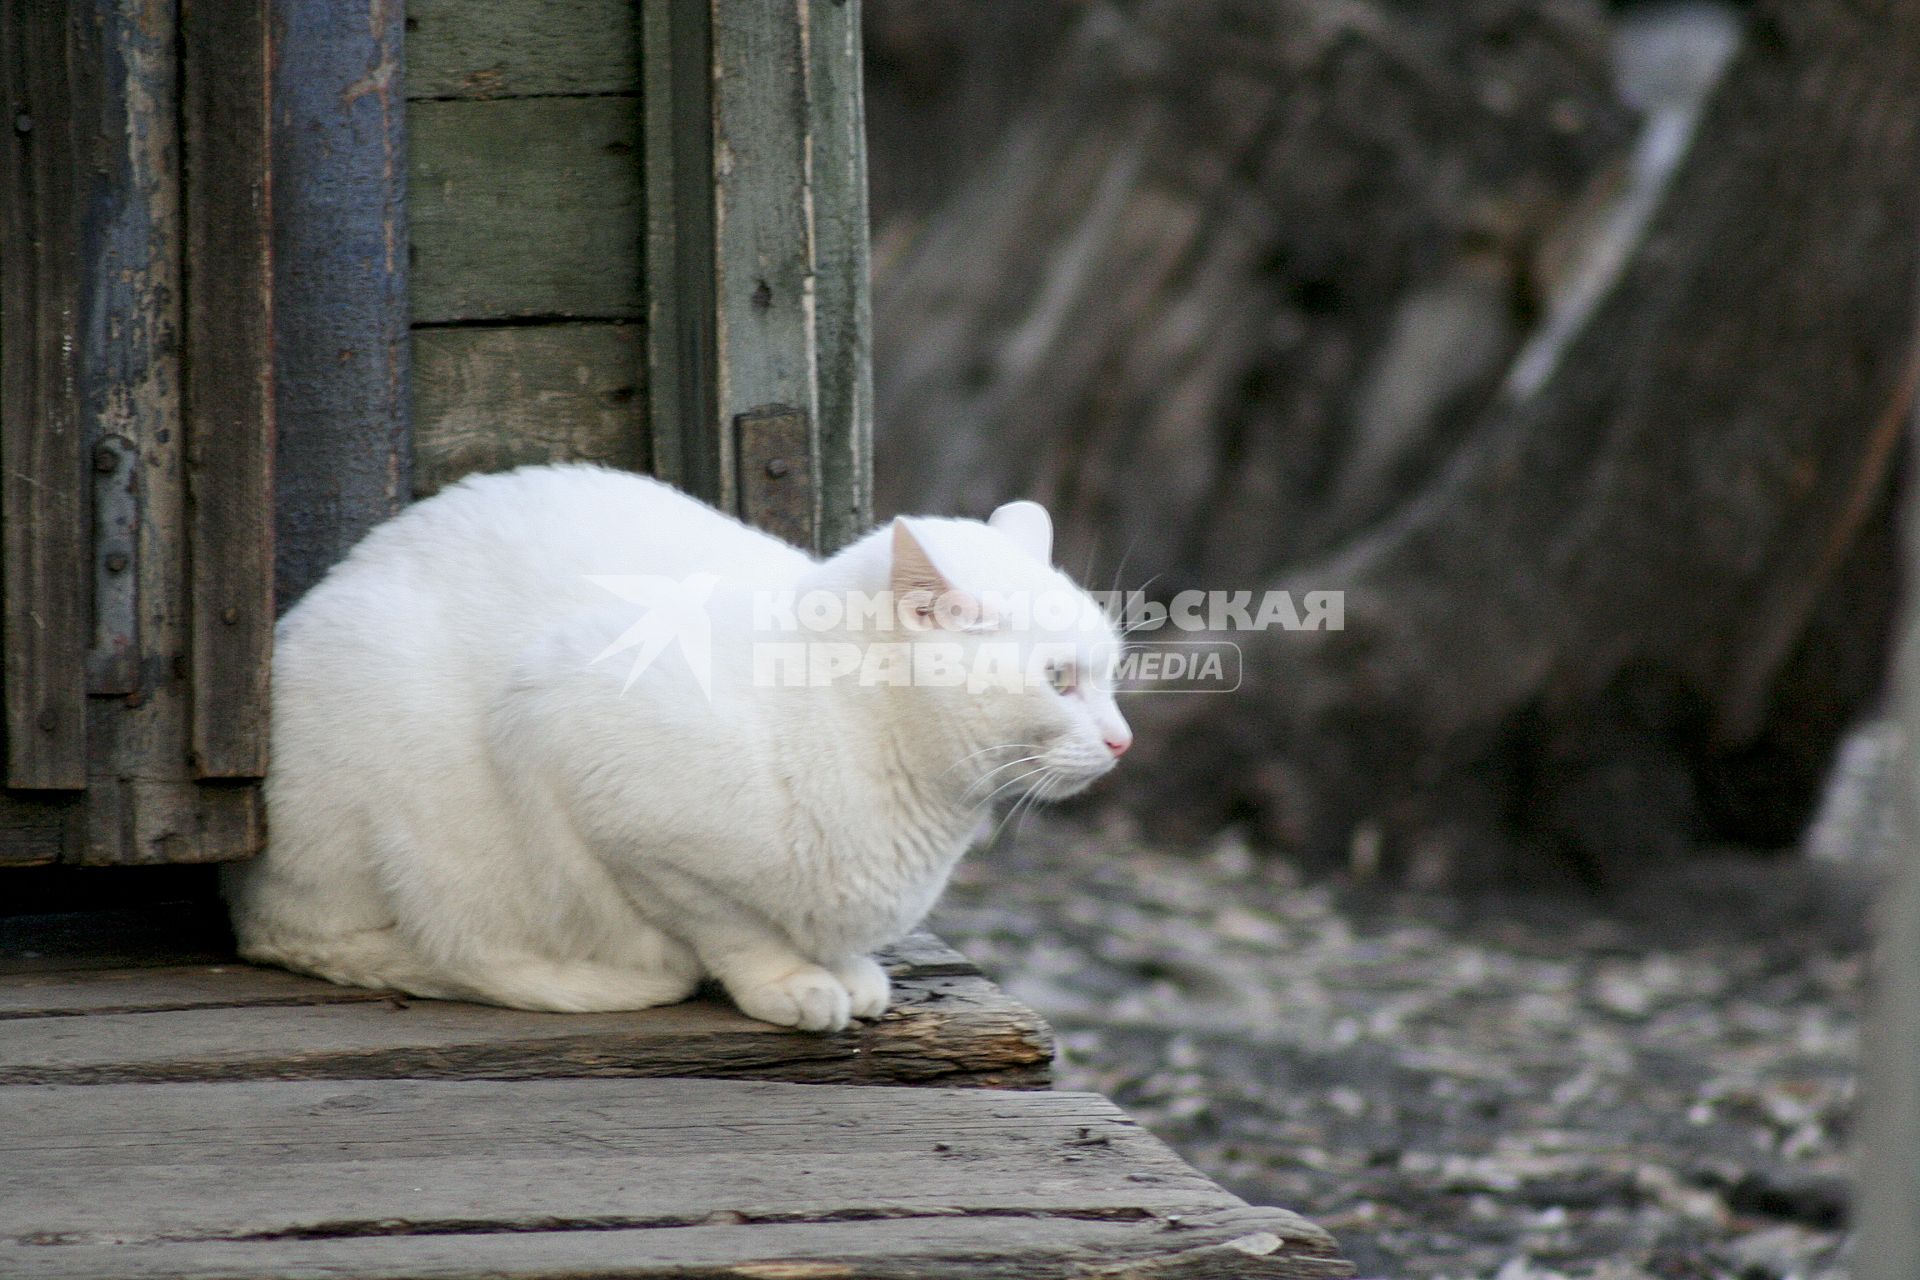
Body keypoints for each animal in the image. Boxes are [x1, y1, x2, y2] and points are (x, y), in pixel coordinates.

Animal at [222, 462, 1121, 1028]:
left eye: (1111, 670)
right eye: (1059, 680)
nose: (1122, 739)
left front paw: (846, 970)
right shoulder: (583, 756)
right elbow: (730, 927)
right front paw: (790, 983)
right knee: (312, 936)